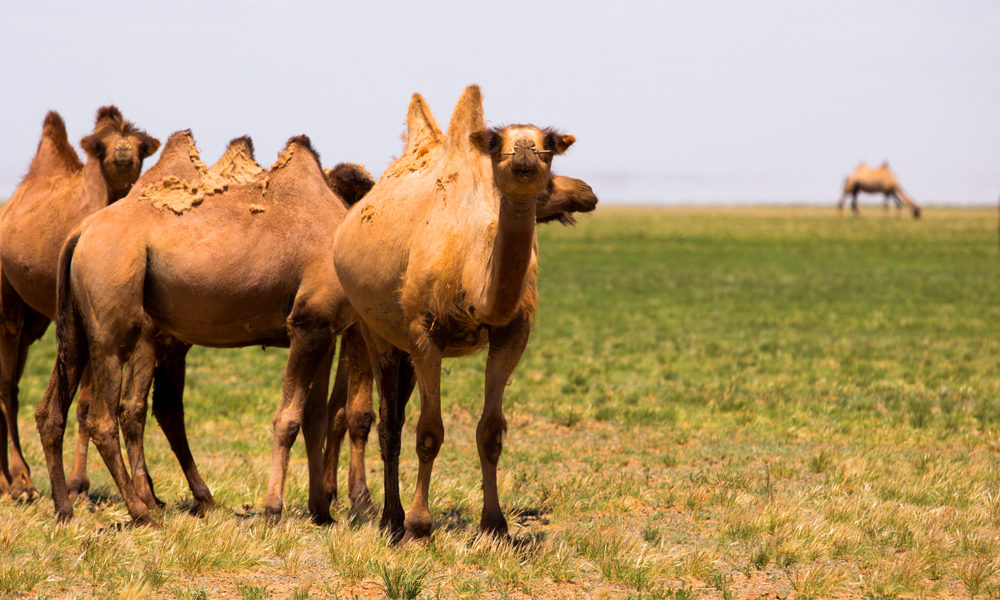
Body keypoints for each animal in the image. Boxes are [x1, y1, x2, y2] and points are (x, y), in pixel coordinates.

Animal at [0, 105, 159, 500]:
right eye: (100, 146)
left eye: (141, 145)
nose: (123, 151)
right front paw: (75, 484)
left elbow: (91, 402)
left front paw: (81, 484)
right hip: (6, 303)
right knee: (7, 385)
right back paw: (19, 483)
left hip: (34, 321)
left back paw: (11, 481)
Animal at [35, 131, 374, 524]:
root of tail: (82, 230)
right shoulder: (308, 323)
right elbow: (288, 419)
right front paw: (273, 509)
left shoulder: (324, 331)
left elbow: (314, 419)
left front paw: (321, 511)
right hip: (113, 315)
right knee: (104, 417)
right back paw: (143, 511)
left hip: (76, 324)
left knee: (52, 410)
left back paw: (66, 509)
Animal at [332, 84, 580, 540]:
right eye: (498, 140)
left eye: (550, 144)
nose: (524, 151)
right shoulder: (425, 332)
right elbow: (429, 432)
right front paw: (419, 524)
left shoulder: (512, 334)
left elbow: (490, 432)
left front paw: (495, 524)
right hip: (375, 329)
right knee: (390, 422)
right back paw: (391, 519)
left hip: (403, 347)